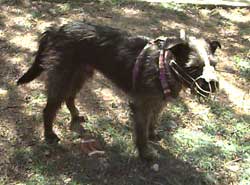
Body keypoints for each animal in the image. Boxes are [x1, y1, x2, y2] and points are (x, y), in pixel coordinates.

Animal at [17, 21, 221, 160]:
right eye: (193, 68)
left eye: (214, 65)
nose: (212, 84)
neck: (163, 65)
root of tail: (56, 30)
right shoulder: (141, 106)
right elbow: (141, 132)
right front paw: (145, 153)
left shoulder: (158, 103)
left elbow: (154, 121)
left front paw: (152, 134)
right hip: (62, 78)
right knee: (49, 109)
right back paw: (49, 135)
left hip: (80, 75)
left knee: (70, 98)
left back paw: (76, 116)